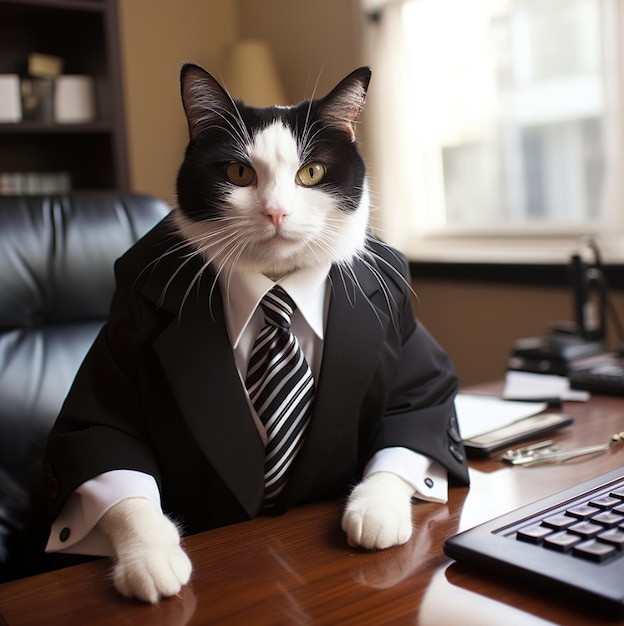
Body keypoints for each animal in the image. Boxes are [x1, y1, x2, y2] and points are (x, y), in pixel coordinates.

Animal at [45, 62, 468, 600]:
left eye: (311, 173)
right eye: (239, 173)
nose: (276, 212)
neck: (276, 286)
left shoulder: (406, 334)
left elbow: (419, 410)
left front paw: (376, 508)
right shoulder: (126, 321)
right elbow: (104, 442)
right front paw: (151, 557)